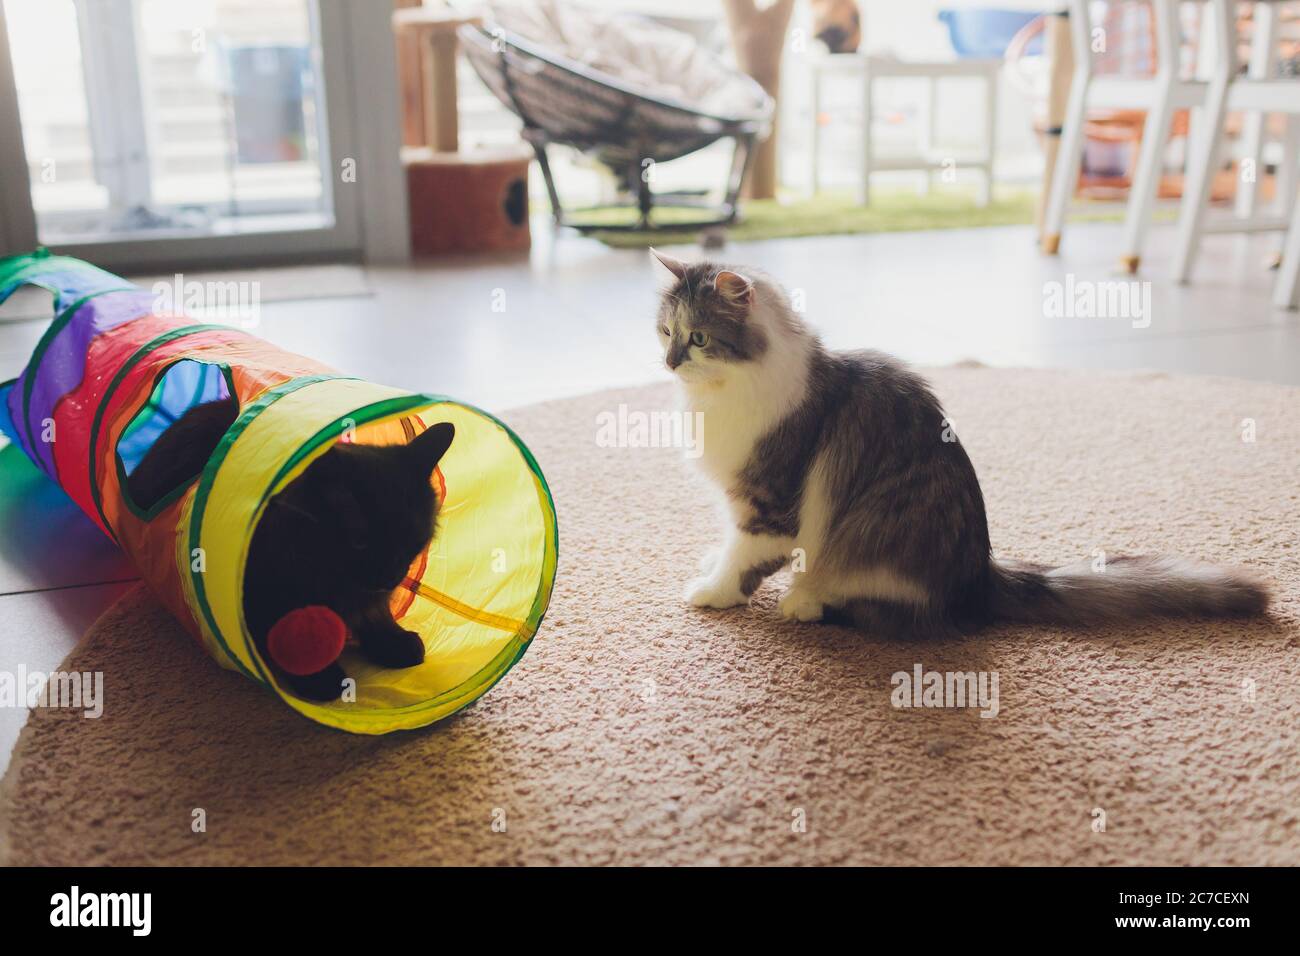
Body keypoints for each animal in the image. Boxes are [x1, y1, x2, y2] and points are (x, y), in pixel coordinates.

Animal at [650, 251, 1268, 634]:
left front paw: (713, 591)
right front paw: (713, 562)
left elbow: (744, 559)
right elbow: (729, 544)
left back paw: (804, 602)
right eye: (665, 332)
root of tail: (979, 575)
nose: (669, 362)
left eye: (698, 338)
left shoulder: (771, 505)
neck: (719, 395)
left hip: (868, 543)